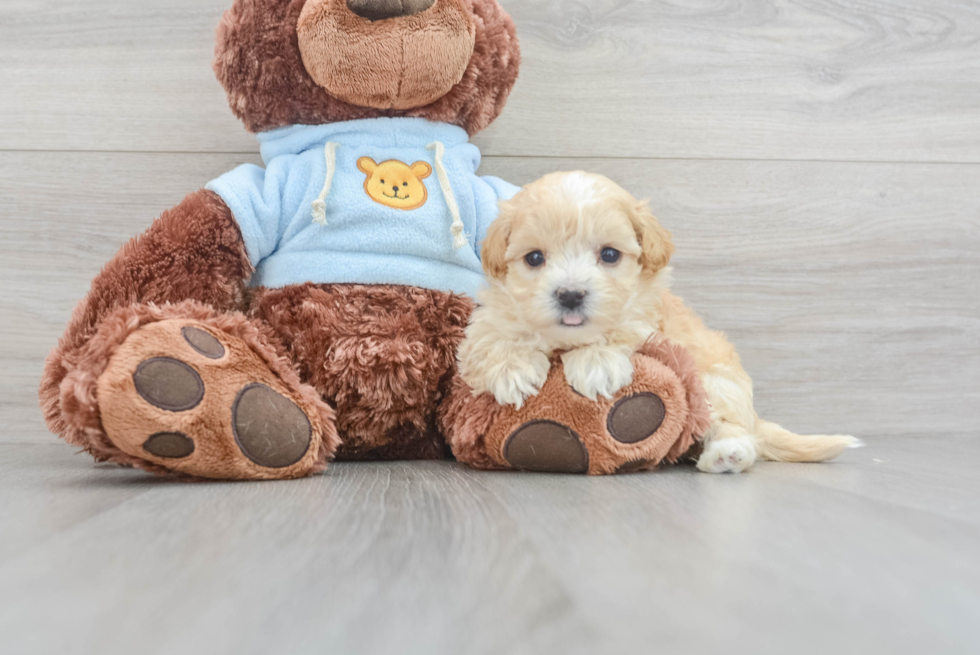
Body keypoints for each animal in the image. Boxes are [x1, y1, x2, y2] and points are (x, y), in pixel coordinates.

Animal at [456, 172, 860, 474]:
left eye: (609, 254)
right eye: (535, 258)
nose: (570, 295)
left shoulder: (647, 317)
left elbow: (619, 330)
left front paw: (596, 363)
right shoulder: (489, 315)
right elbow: (492, 336)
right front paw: (512, 369)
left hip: (713, 383)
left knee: (733, 429)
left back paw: (727, 454)